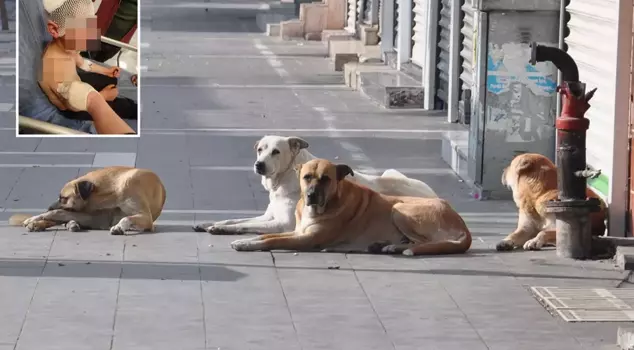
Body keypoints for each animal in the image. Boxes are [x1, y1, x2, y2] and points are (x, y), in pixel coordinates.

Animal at [8, 166, 165, 235]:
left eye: (63, 198)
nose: (48, 207)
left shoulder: (146, 217)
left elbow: (126, 218)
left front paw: (119, 227)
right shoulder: (95, 216)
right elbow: (56, 213)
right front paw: (35, 218)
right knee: (60, 219)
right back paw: (39, 224)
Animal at [194, 135, 440, 237]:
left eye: (276, 151)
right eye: (260, 149)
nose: (259, 164)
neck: (284, 180)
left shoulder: (282, 224)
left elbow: (244, 225)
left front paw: (219, 229)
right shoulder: (268, 216)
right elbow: (234, 219)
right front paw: (210, 223)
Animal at [230, 158, 472, 254]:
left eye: (326, 179)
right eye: (307, 177)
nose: (311, 195)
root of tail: (463, 226)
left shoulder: (306, 239)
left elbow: (271, 240)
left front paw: (247, 244)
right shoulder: (298, 231)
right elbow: (266, 236)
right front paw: (246, 240)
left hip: (400, 209)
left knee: (427, 243)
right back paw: (387, 246)